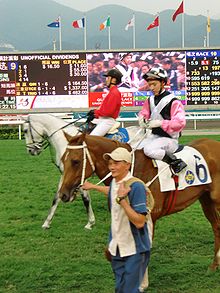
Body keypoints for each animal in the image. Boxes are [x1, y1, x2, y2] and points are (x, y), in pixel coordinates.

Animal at [59, 132, 220, 272]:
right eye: (62, 160)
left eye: (75, 161)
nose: (62, 194)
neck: (131, 169)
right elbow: (112, 252)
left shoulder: (149, 218)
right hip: (205, 199)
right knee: (216, 226)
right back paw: (214, 265)